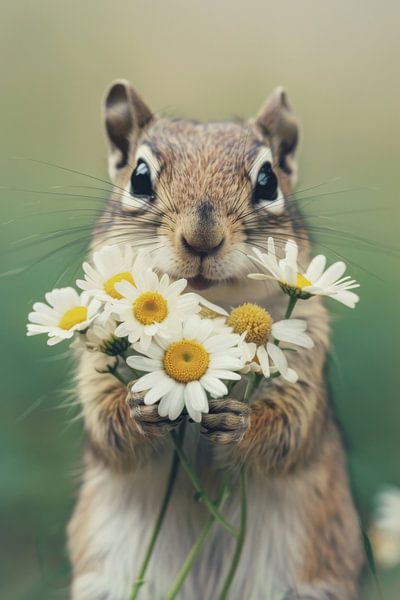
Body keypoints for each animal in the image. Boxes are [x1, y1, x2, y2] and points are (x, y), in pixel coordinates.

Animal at [68, 81, 362, 600]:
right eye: (139, 177)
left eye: (268, 180)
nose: (201, 238)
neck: (209, 311)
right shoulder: (95, 361)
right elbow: (108, 430)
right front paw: (138, 408)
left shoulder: (306, 356)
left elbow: (289, 433)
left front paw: (237, 422)